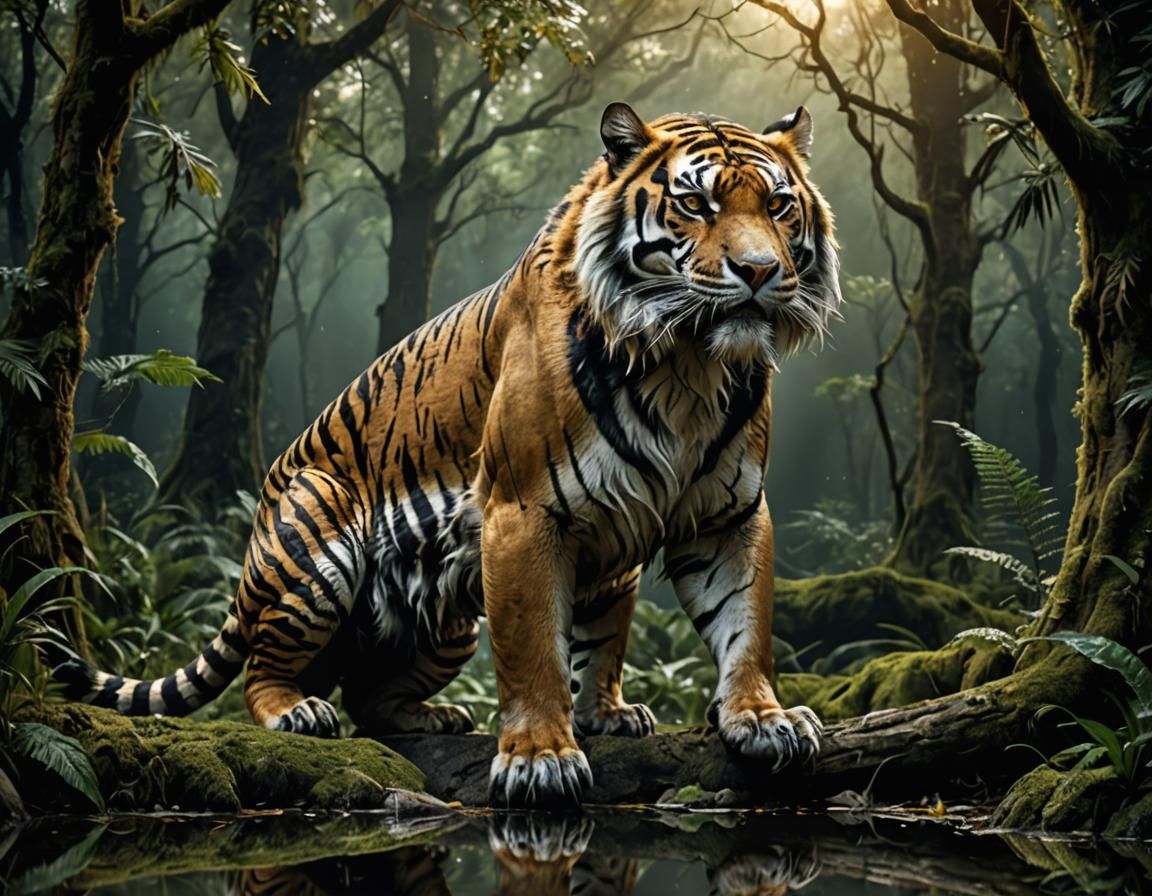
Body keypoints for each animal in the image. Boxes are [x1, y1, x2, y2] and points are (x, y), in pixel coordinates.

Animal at [57, 101, 842, 808]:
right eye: (694, 204)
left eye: (778, 206)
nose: (758, 271)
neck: (687, 365)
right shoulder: (523, 513)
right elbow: (535, 649)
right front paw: (541, 756)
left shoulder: (723, 516)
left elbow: (724, 628)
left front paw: (751, 719)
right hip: (318, 541)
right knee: (263, 668)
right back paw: (295, 710)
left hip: (449, 627)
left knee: (368, 695)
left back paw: (433, 714)